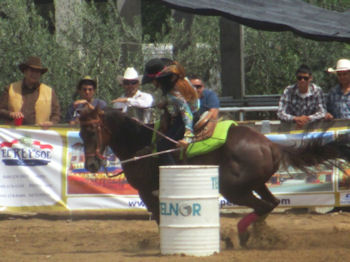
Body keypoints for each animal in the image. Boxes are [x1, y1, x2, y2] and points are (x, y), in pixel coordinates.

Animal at [78, 105, 350, 247]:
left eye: (91, 131)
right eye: (80, 132)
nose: (91, 163)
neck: (141, 143)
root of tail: (271, 145)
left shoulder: (146, 192)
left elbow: (158, 216)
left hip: (233, 189)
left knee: (262, 205)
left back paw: (238, 236)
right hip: (256, 184)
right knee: (270, 203)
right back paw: (256, 235)